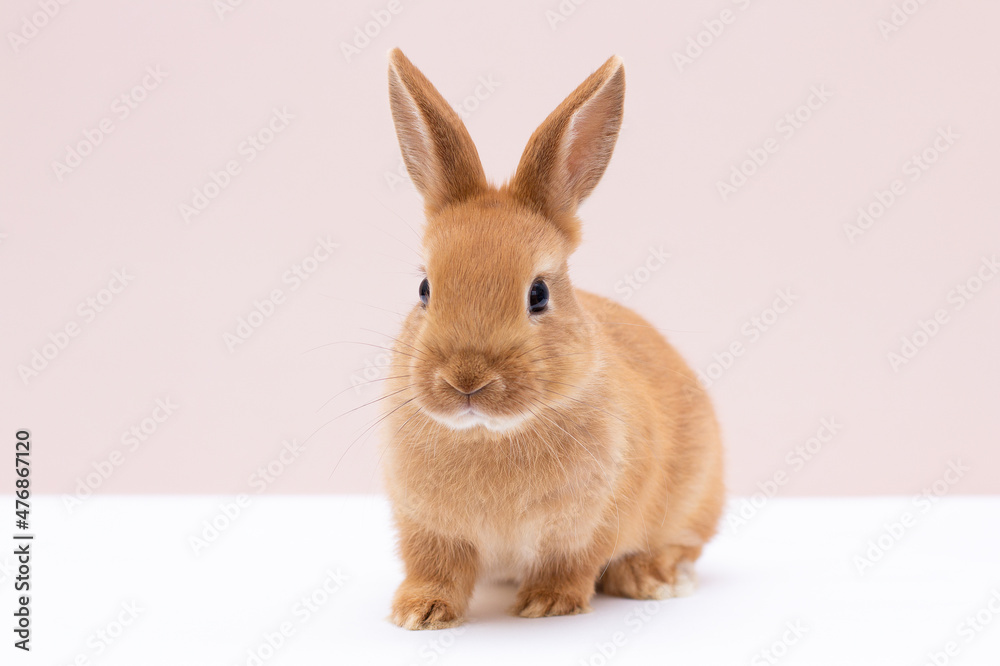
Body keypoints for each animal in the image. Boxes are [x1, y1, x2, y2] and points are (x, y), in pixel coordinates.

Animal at [380, 48, 725, 630]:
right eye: (425, 288)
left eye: (538, 294)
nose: (466, 379)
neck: (489, 434)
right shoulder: (427, 529)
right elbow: (435, 569)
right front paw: (418, 613)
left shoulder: (587, 527)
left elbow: (570, 565)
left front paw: (546, 604)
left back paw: (652, 578)